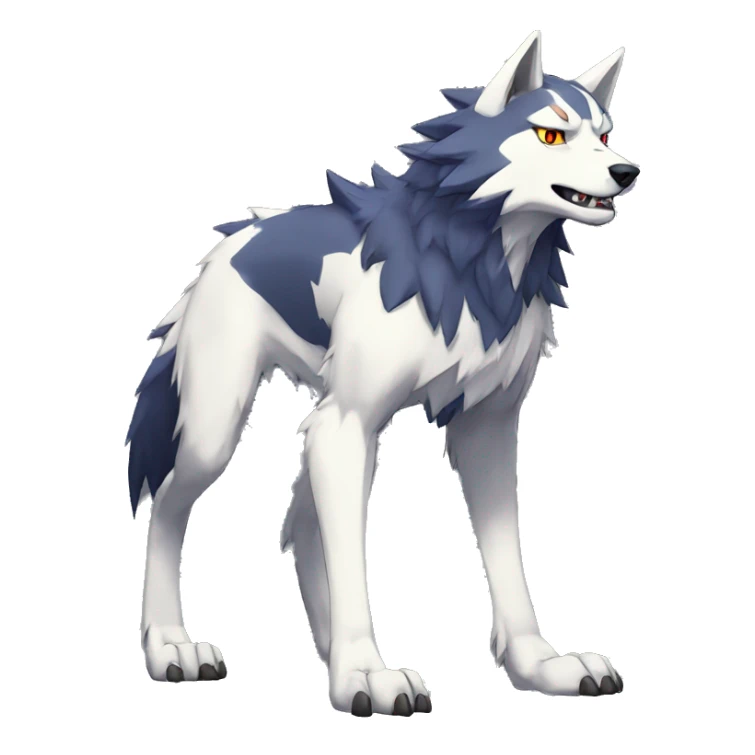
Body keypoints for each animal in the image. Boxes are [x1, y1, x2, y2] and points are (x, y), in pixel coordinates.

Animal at [126, 31, 639, 716]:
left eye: (605, 134)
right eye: (551, 134)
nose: (628, 173)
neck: (471, 262)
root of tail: (228, 244)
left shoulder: (486, 428)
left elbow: (507, 560)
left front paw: (541, 666)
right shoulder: (350, 423)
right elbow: (351, 550)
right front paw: (367, 675)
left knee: (300, 524)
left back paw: (325, 652)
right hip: (219, 430)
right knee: (168, 507)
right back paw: (171, 645)